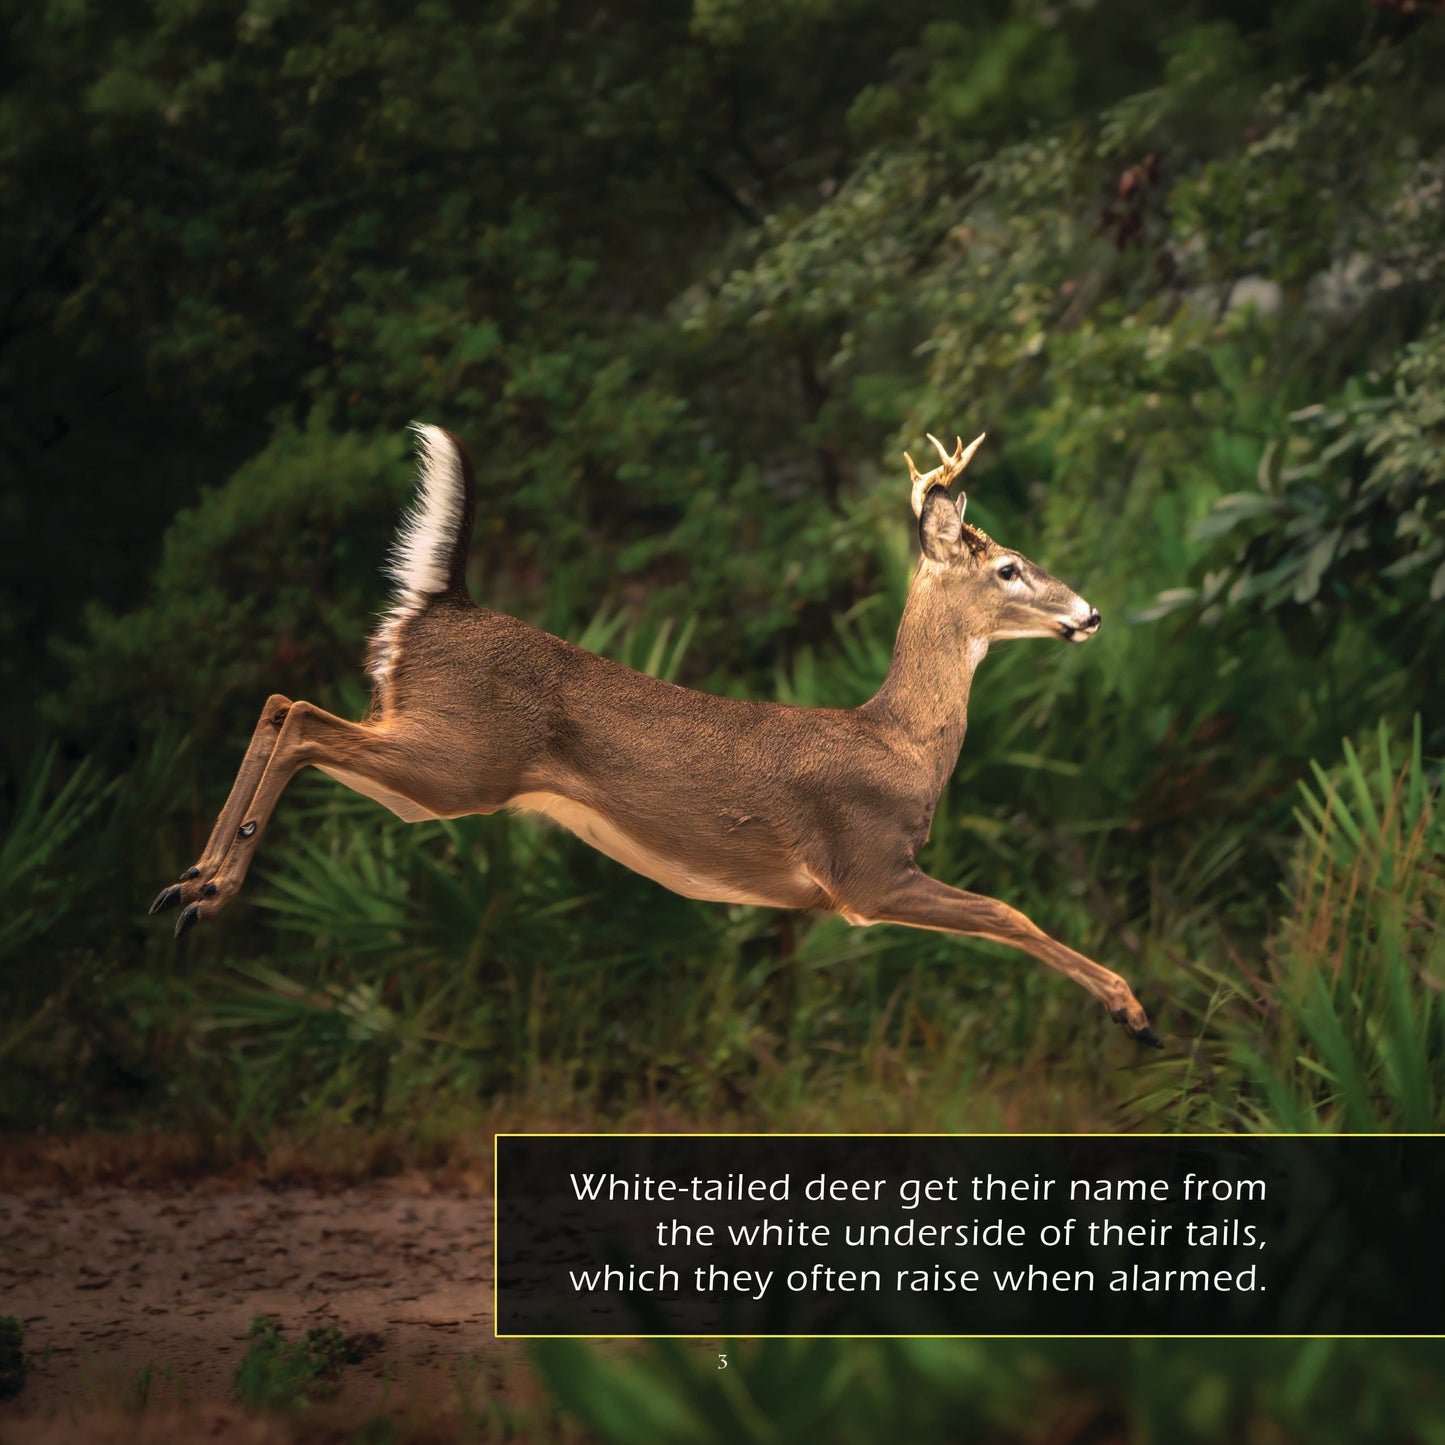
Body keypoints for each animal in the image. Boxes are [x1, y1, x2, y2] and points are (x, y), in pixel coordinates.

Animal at [149, 425, 1161, 1047]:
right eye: (1010, 566)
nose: (1089, 613)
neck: (902, 742)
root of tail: (441, 603)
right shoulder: (865, 871)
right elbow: (1009, 912)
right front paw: (1133, 1011)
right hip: (455, 761)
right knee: (299, 715)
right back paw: (205, 891)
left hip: (428, 758)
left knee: (280, 704)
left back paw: (186, 886)